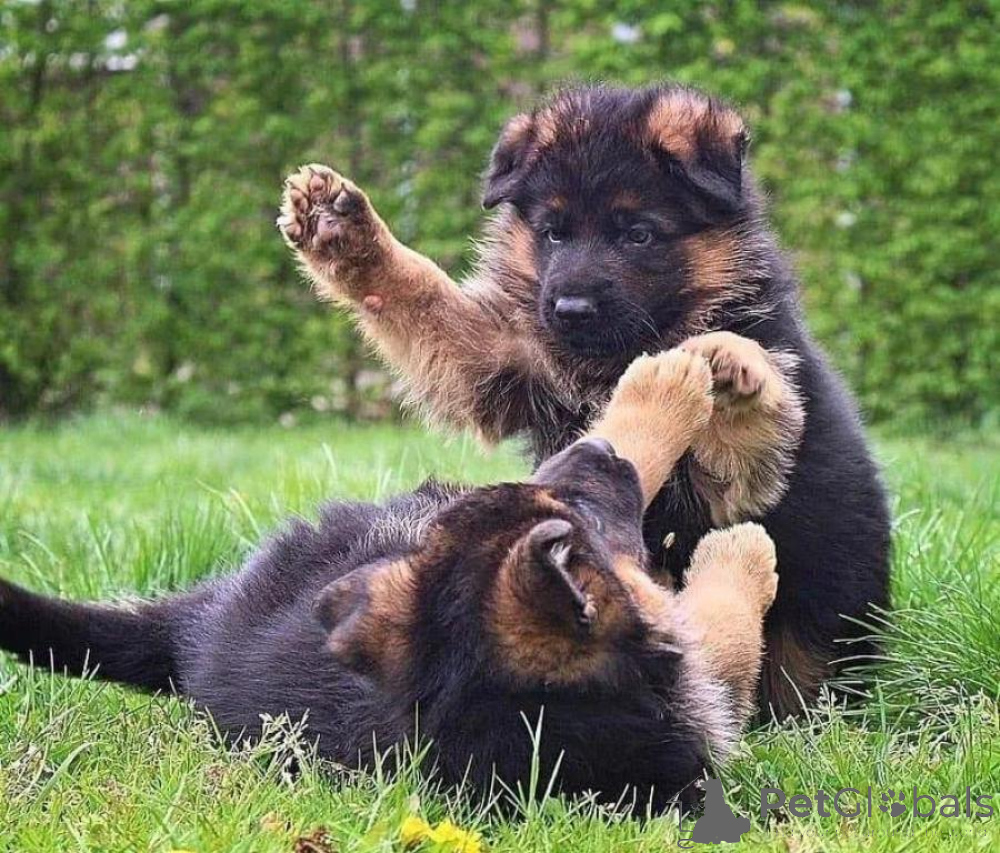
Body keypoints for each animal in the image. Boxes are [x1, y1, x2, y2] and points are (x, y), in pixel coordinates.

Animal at [0, 350, 778, 812]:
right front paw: (741, 549)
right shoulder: (694, 699)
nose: (594, 450)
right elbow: (723, 625)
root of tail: (188, 636)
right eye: (572, 502)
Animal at [278, 83, 891, 716]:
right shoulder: (502, 354)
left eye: (637, 233)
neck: (612, 359)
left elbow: (749, 445)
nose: (571, 310)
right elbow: (425, 297)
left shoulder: (738, 491)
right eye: (554, 232)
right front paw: (344, 231)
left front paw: (733, 367)